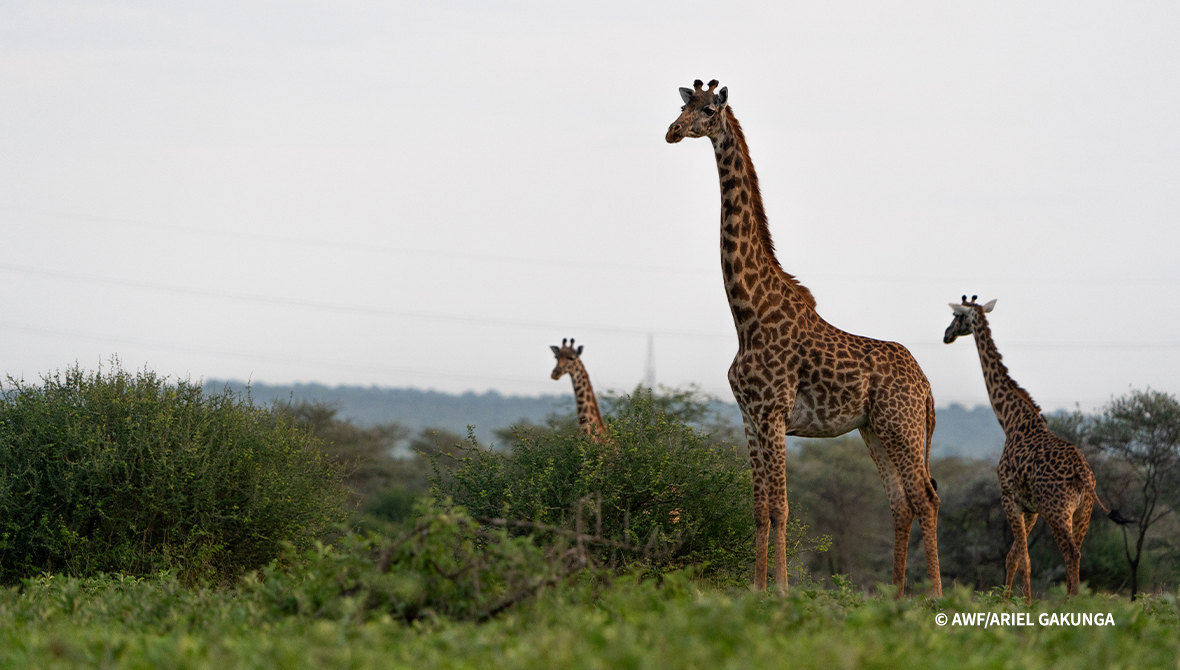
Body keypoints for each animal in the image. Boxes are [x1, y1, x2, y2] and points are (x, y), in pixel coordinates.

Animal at [665, 78, 939, 596]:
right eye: (683, 105)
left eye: (709, 110)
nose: (672, 131)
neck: (747, 314)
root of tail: (927, 386)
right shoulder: (749, 418)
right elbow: (758, 509)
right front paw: (756, 589)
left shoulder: (773, 414)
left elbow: (781, 507)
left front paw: (783, 591)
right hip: (875, 429)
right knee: (900, 502)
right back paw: (896, 597)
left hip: (903, 427)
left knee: (926, 499)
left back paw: (932, 597)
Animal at [943, 296, 1109, 603]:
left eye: (956, 316)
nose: (946, 335)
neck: (1011, 421)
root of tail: (1083, 473)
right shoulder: (1031, 508)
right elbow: (1014, 557)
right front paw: (1006, 601)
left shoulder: (1009, 497)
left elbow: (1023, 558)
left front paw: (1024, 604)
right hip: (1084, 511)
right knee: (1078, 552)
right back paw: (1073, 601)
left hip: (1058, 510)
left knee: (1071, 553)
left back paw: (1069, 604)